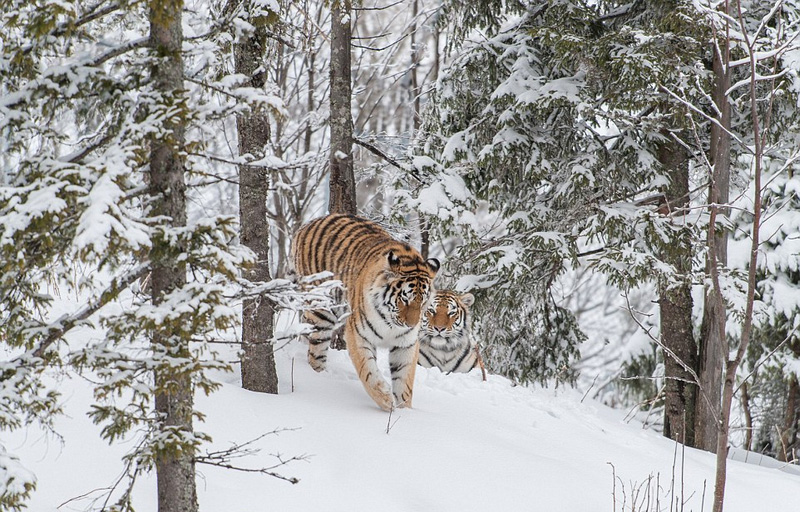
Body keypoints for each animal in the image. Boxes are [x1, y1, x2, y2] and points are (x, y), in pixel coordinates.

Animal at [290, 214, 438, 410]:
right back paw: (318, 376)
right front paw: (385, 400)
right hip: (322, 309)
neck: (391, 323)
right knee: (315, 350)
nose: (412, 324)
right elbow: (367, 370)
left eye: (422, 302)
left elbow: (404, 381)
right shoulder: (358, 334)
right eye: (405, 299)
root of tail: (307, 224)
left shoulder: (406, 343)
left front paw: (404, 410)